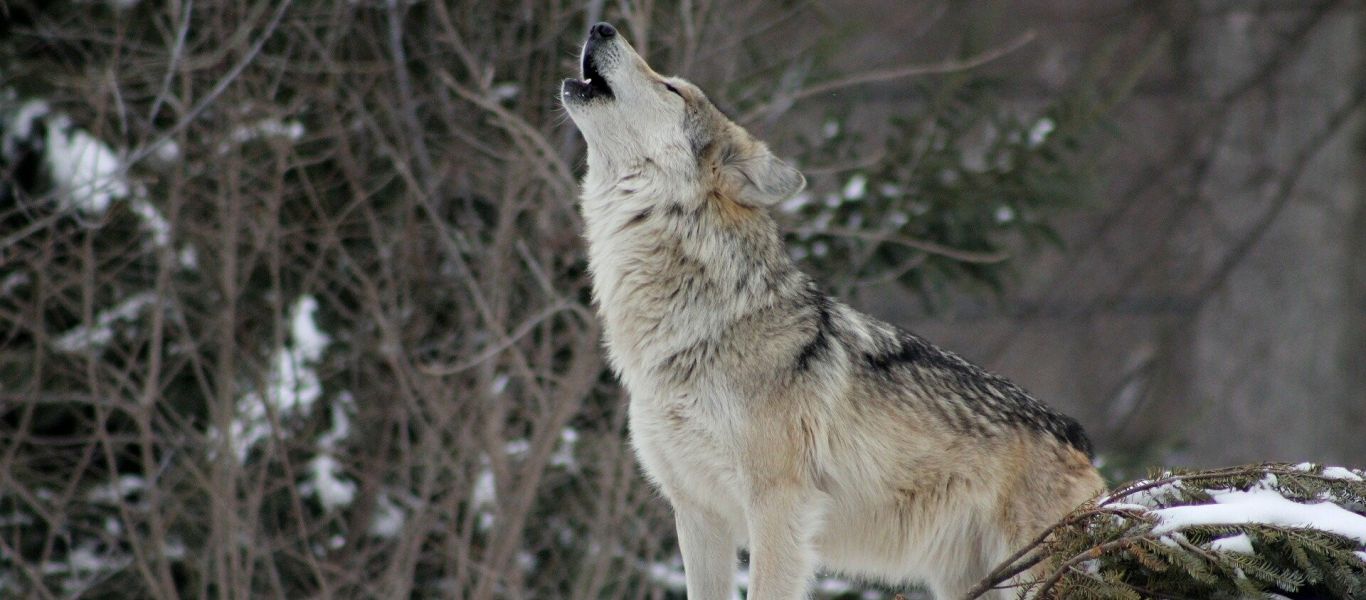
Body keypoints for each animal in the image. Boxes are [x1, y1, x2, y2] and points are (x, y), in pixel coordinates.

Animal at [560, 21, 1103, 598]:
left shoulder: (778, 505)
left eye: (672, 89)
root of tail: (1080, 441)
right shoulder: (697, 513)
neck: (698, 325)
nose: (601, 26)